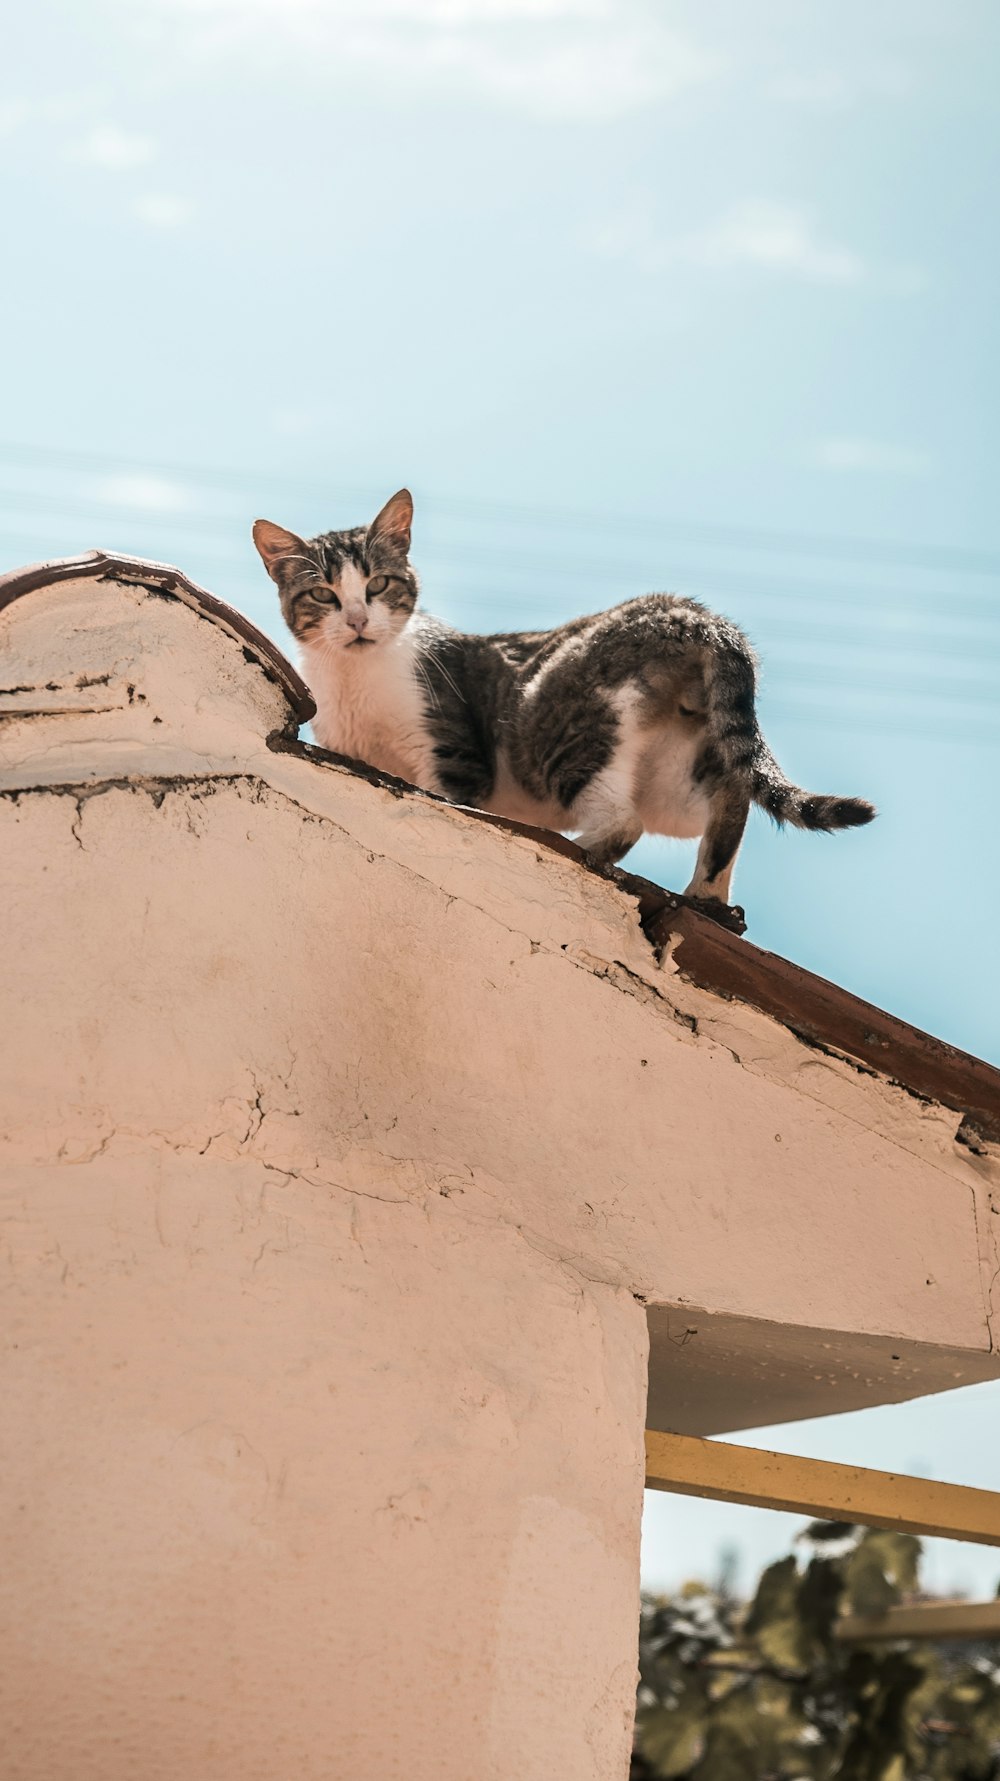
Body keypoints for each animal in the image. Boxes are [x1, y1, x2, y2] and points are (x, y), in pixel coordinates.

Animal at [254, 487, 873, 904]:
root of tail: (685, 612)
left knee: (624, 820)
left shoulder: (451, 753)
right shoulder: (344, 746)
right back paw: (707, 897)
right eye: (323, 595)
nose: (358, 620)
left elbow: (444, 798)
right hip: (681, 767)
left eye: (378, 584)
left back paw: (578, 852)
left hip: (558, 728)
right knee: (729, 799)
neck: (356, 678)